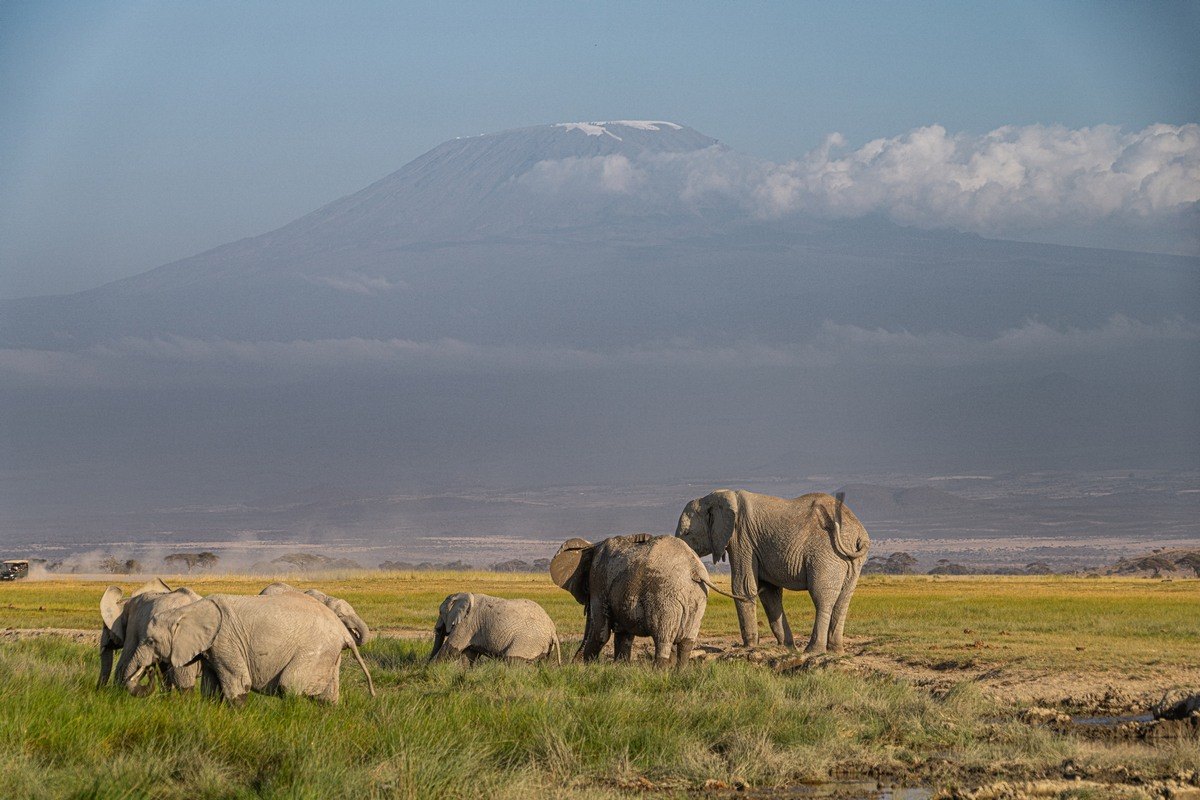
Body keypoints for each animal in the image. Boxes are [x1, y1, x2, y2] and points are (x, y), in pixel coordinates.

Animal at [127, 592, 374, 705]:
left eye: (150, 641)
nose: (149, 670)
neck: (189, 610)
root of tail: (343, 632)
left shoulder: (226, 640)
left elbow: (239, 684)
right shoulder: (212, 648)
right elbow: (211, 687)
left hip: (315, 649)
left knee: (289, 686)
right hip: (329, 654)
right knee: (327, 697)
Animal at [432, 594, 561, 662]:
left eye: (440, 612)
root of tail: (552, 631)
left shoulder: (467, 624)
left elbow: (450, 649)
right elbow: (468, 655)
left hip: (528, 641)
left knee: (513, 661)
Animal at [676, 491, 873, 652]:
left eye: (687, 534)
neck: (718, 497)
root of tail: (859, 534)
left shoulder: (742, 539)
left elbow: (743, 587)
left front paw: (749, 647)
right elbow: (769, 593)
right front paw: (787, 648)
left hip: (827, 554)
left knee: (822, 597)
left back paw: (813, 650)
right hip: (851, 561)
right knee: (843, 599)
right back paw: (835, 651)